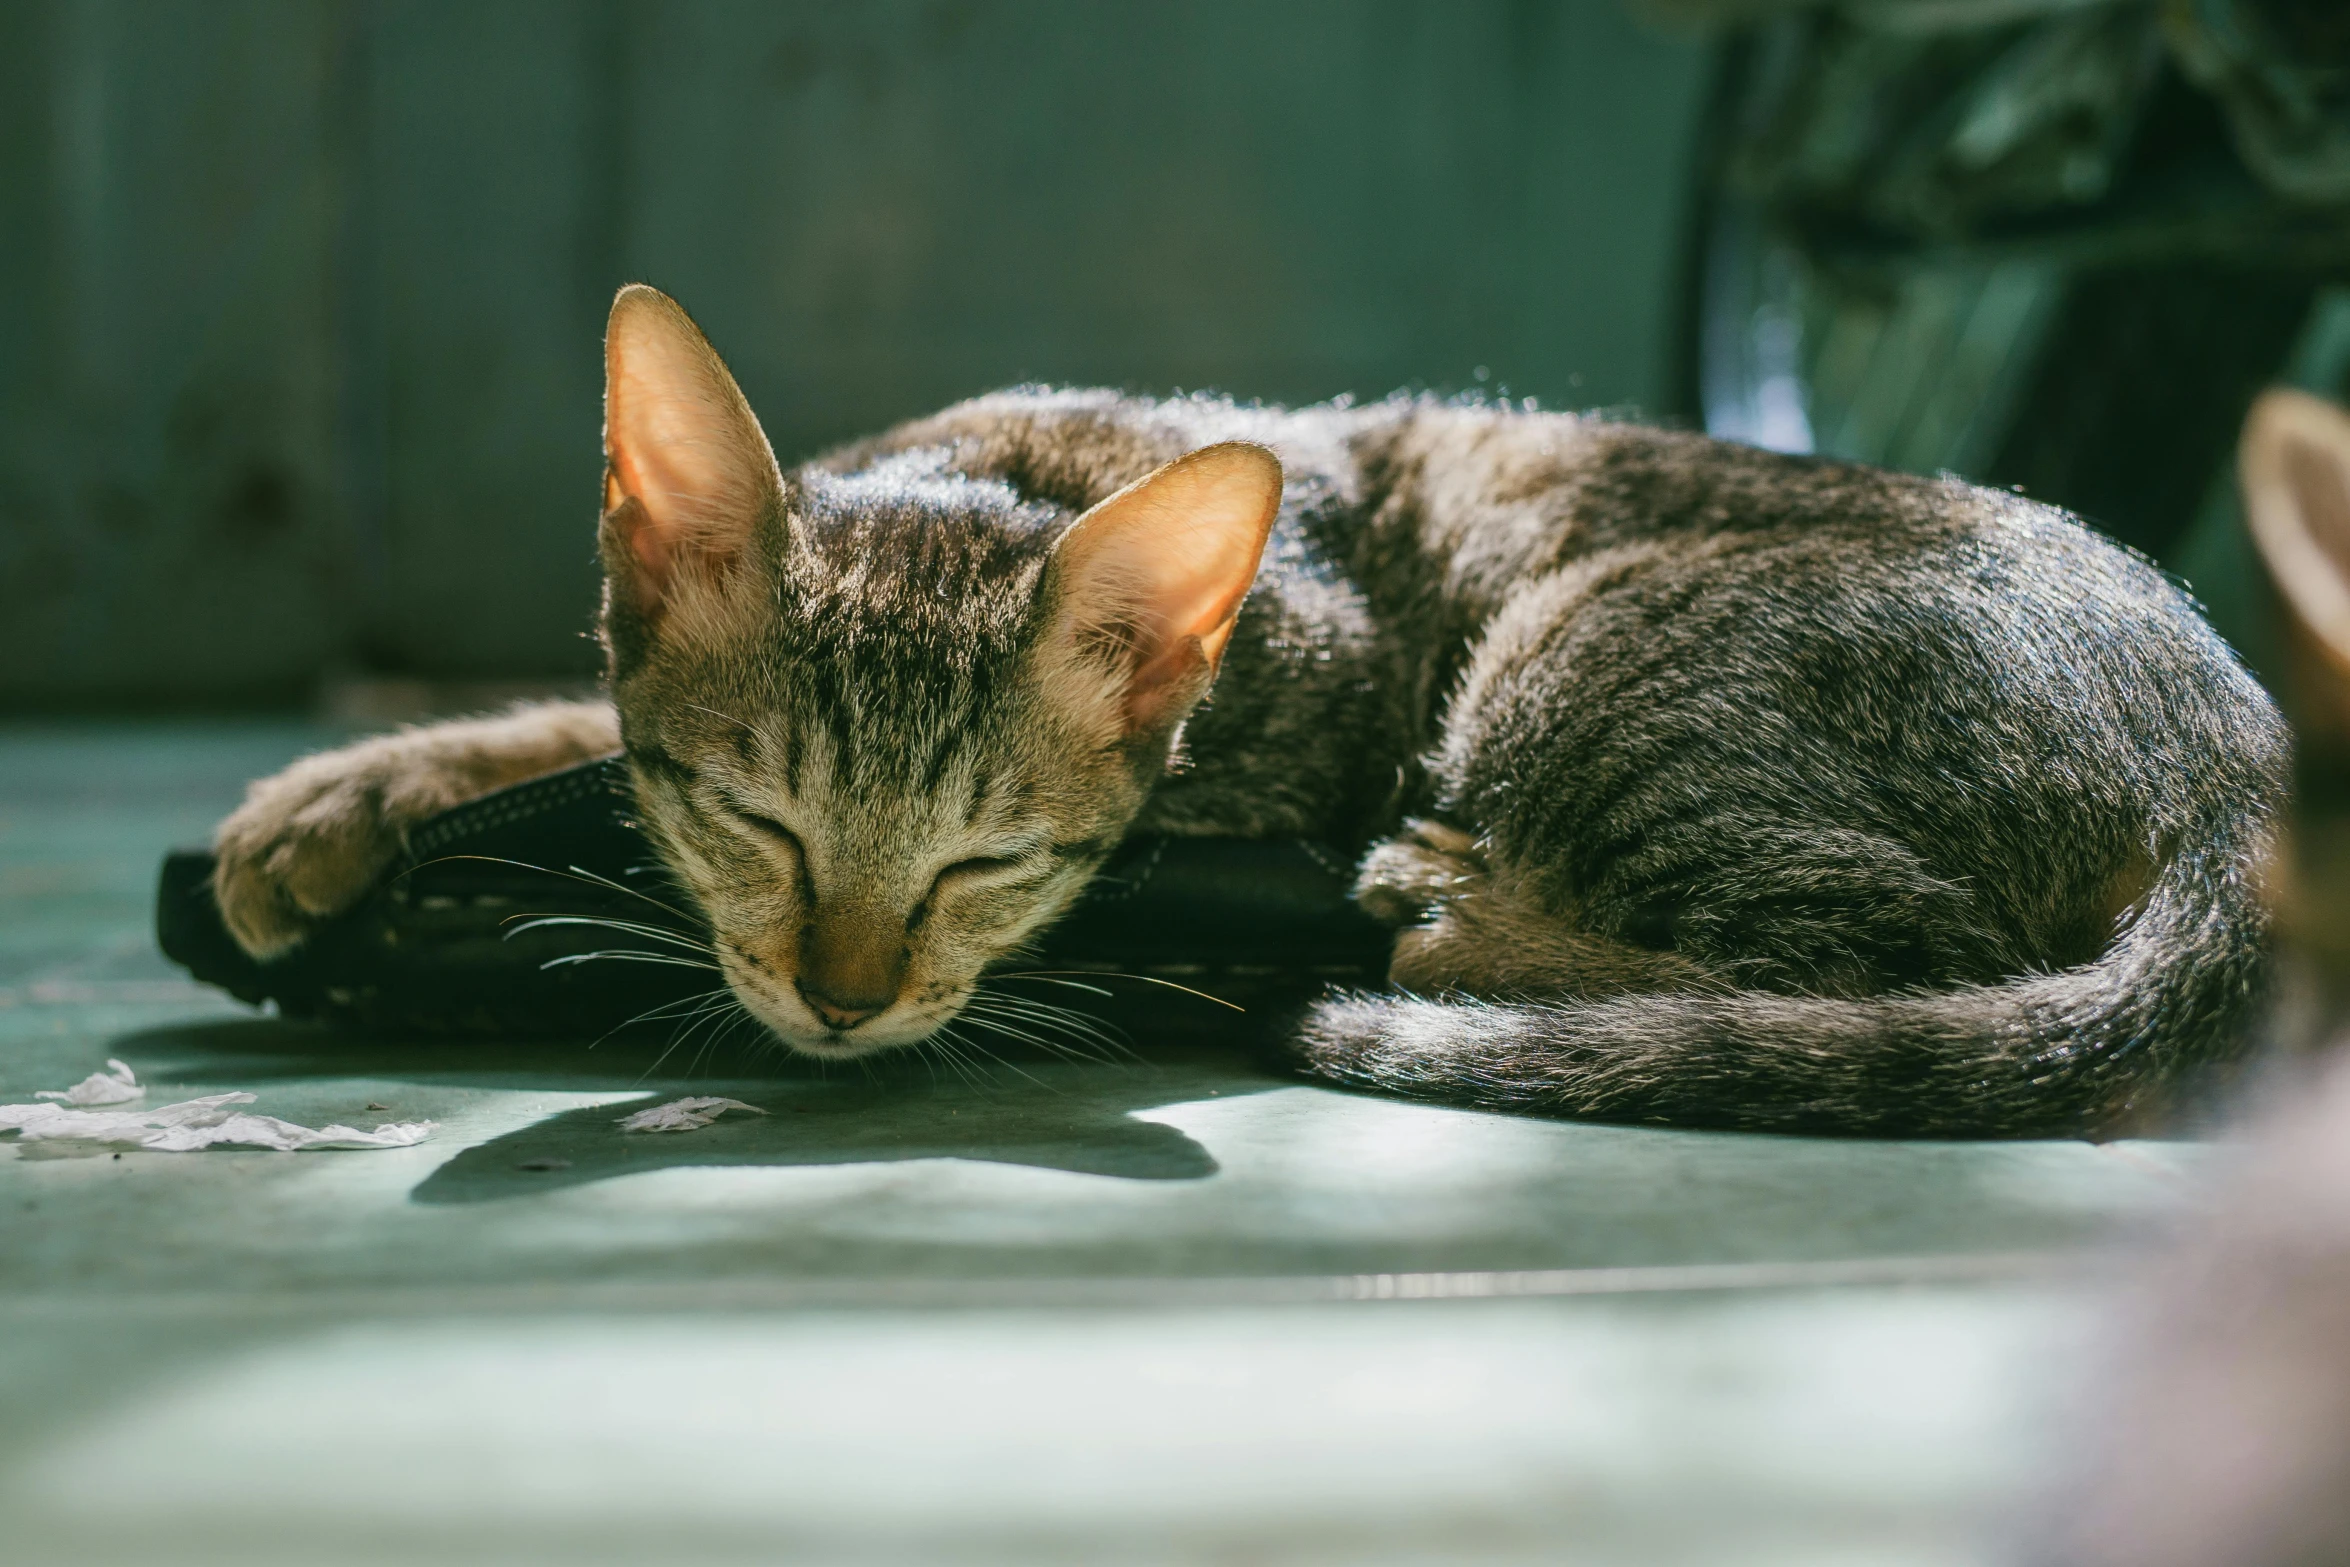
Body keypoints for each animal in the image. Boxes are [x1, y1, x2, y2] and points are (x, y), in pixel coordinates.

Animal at [216, 285, 2274, 1141]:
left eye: (987, 862)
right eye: (757, 817)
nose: (842, 998)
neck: (1008, 471)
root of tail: (2244, 761)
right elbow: (572, 717)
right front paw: (349, 790)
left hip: (1586, 645)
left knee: (1869, 951)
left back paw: (1456, 907)